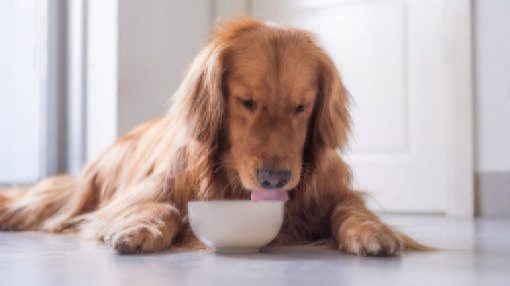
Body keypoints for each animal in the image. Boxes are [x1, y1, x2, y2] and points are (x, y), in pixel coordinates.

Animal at [0, 17, 426, 255]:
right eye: (246, 102)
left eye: (302, 107)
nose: (274, 179)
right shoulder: (144, 193)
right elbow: (165, 208)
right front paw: (140, 229)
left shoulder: (335, 193)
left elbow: (349, 209)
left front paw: (373, 231)